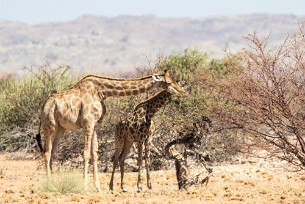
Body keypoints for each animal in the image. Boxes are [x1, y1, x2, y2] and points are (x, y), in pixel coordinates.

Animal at [35, 69, 183, 191]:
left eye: (176, 80)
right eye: (169, 82)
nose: (182, 91)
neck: (102, 91)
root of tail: (43, 106)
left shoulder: (97, 124)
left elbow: (95, 153)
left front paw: (98, 187)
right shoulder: (88, 123)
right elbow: (86, 154)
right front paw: (84, 185)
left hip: (61, 129)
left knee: (52, 152)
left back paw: (54, 183)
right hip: (50, 126)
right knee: (46, 152)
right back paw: (49, 184)